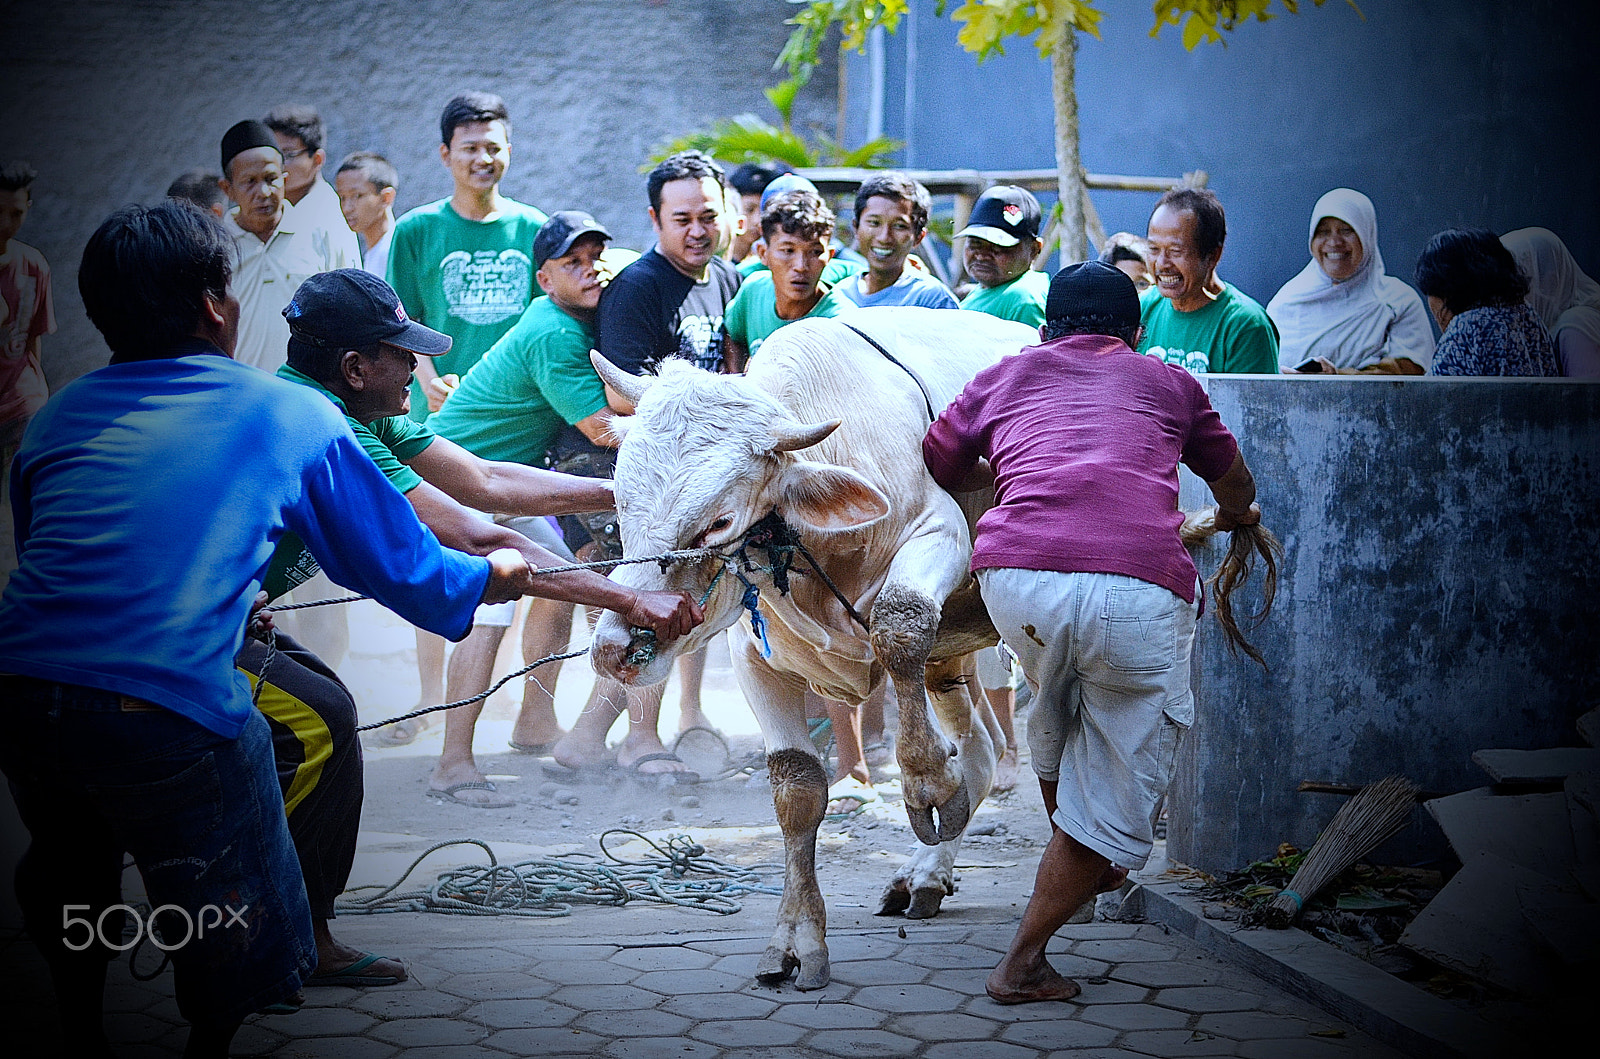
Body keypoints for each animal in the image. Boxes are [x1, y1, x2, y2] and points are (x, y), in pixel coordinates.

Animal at [595, 307, 1043, 998]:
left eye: (719, 521)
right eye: (621, 498)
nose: (616, 647)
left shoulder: (941, 534)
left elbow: (898, 623)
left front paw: (926, 783)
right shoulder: (755, 656)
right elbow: (797, 791)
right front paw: (796, 942)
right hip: (955, 650)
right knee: (983, 748)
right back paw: (926, 873)